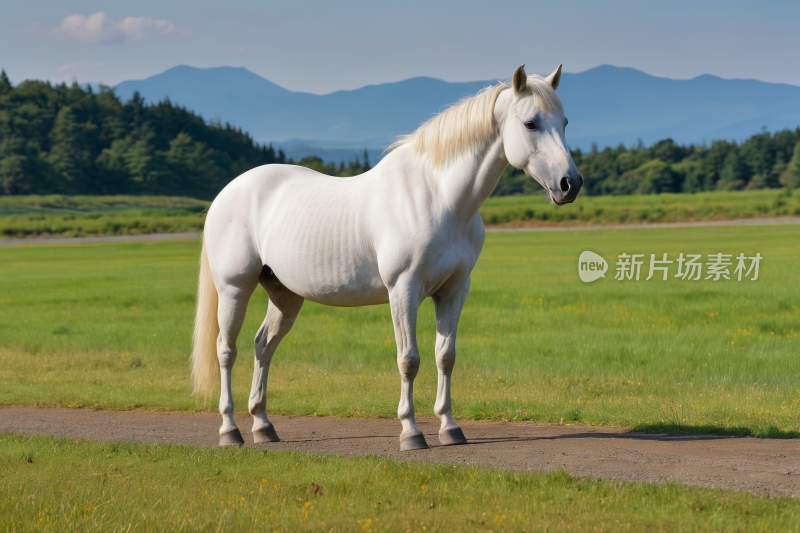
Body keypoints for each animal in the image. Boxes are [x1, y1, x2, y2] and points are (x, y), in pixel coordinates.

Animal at [191, 64, 584, 450]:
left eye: (565, 122)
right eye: (531, 123)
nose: (571, 183)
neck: (439, 197)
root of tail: (228, 192)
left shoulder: (454, 290)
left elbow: (446, 356)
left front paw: (450, 428)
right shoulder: (403, 290)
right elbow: (409, 360)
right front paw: (411, 432)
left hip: (284, 294)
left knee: (263, 346)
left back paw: (263, 425)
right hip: (234, 288)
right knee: (226, 351)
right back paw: (230, 431)